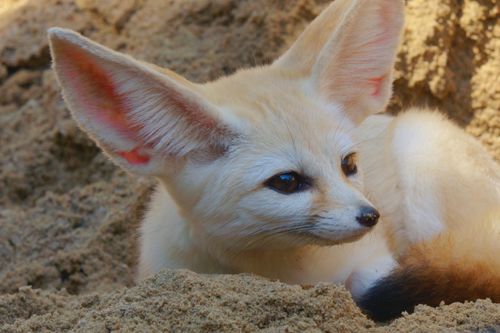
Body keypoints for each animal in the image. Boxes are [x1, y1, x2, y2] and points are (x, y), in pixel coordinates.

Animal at [47, 0, 500, 320]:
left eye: (349, 164)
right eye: (286, 182)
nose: (371, 217)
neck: (278, 272)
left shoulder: (375, 261)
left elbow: (369, 283)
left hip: (420, 156)